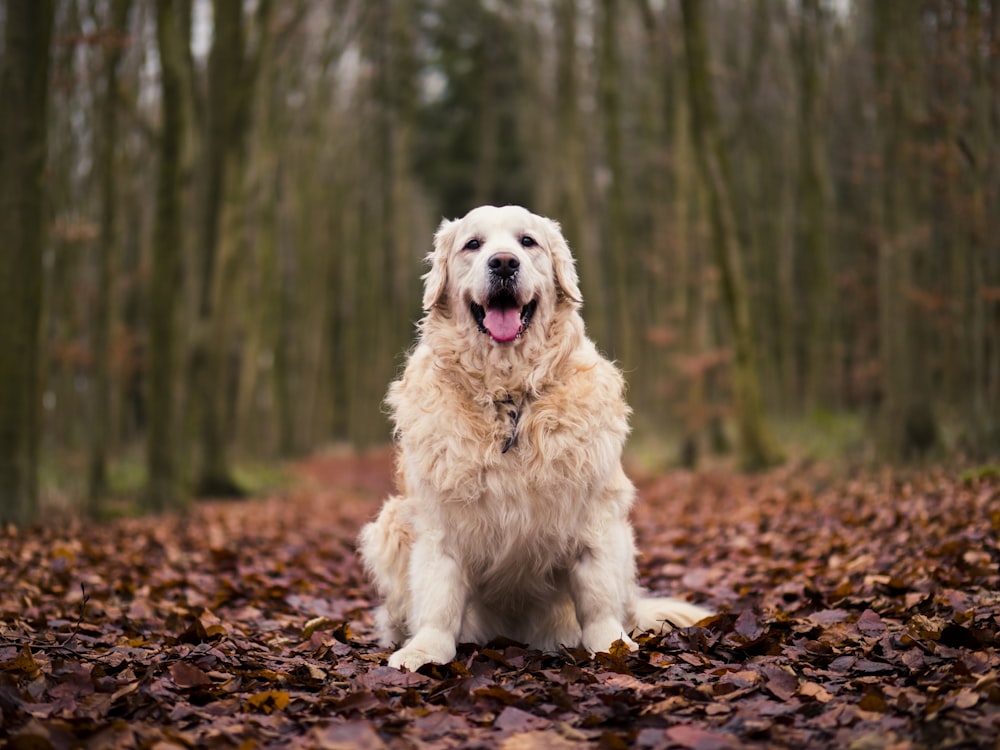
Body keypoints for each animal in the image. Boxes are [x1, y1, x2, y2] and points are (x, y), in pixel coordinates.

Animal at [360, 207, 712, 676]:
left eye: (528, 242)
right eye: (473, 244)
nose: (504, 263)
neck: (509, 396)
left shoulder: (597, 518)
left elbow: (598, 598)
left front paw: (611, 647)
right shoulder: (438, 524)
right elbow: (438, 599)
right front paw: (424, 651)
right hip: (390, 522)